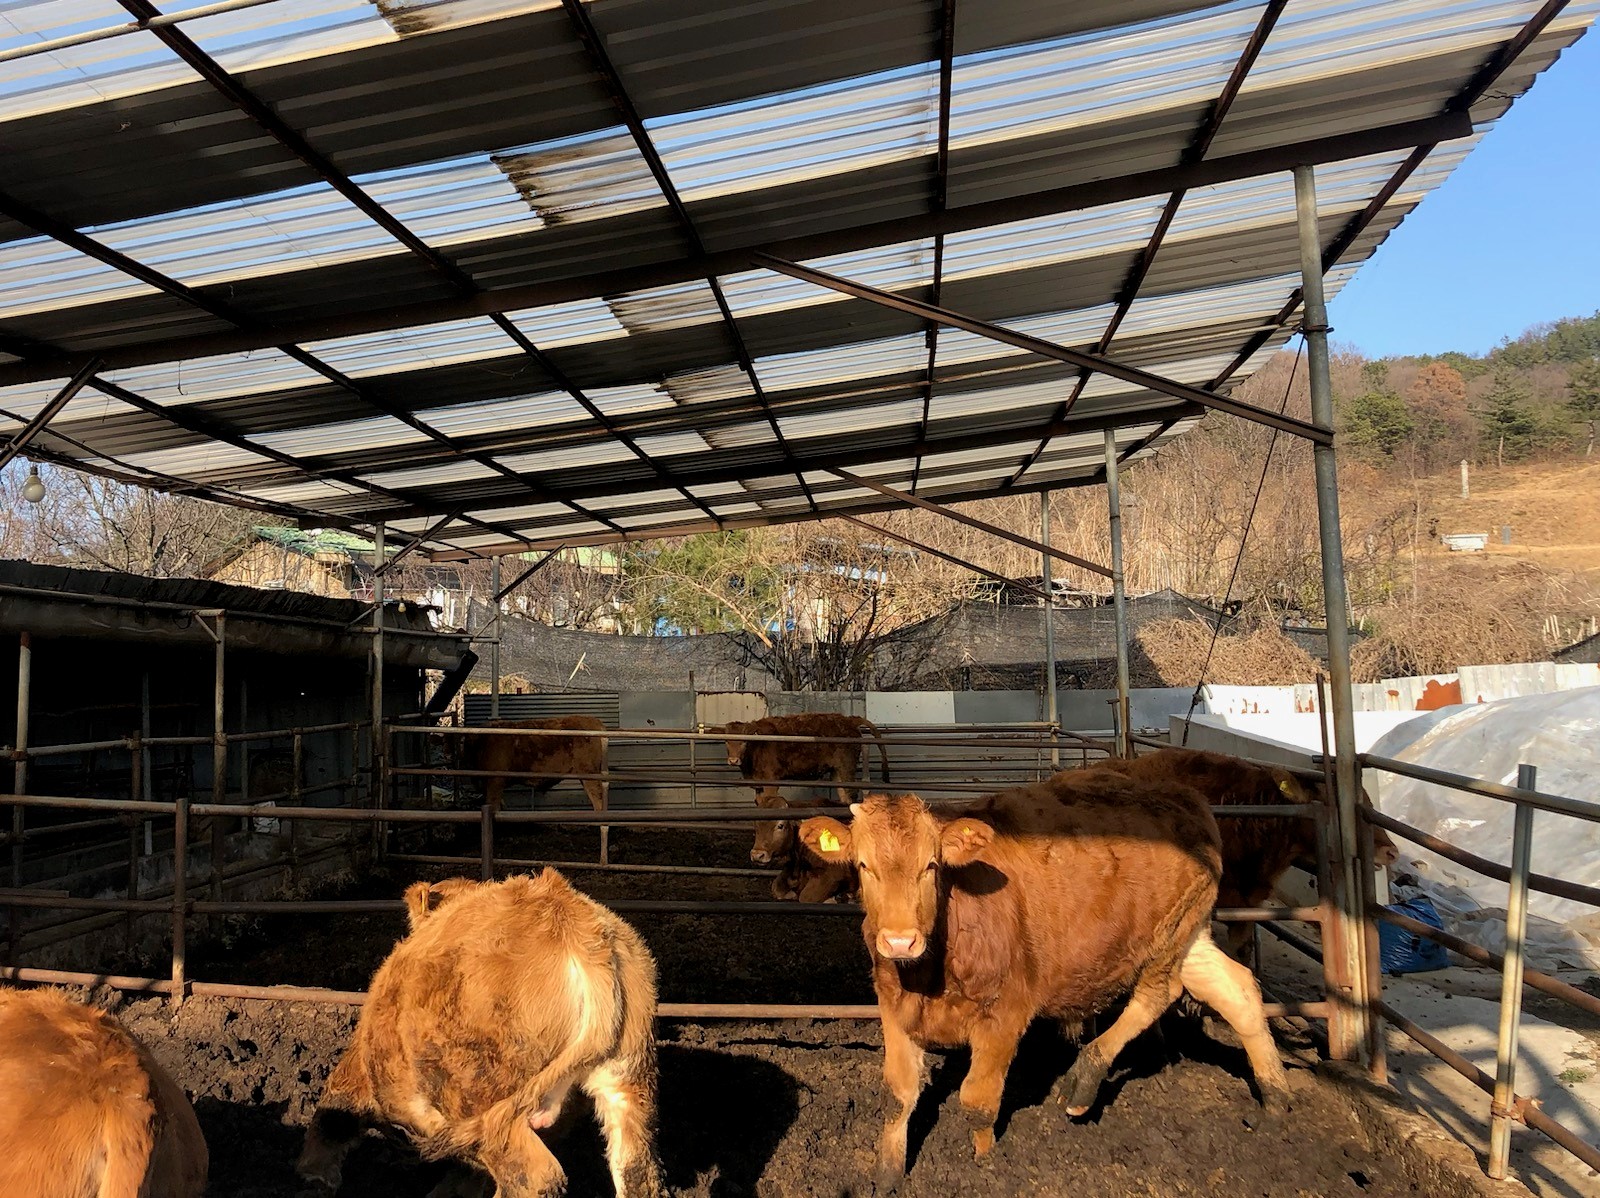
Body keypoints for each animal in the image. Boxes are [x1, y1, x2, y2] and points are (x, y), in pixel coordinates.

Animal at [299, 871, 662, 1198]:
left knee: (533, 1177)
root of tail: (573, 923)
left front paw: (313, 1176)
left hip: (480, 1098)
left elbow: (333, 1111)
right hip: (627, 1080)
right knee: (636, 1171)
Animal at [798, 773, 1288, 1185]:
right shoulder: (893, 1006)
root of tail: (1185, 797)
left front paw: (982, 1166)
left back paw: (1084, 1079)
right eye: (863, 866)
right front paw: (887, 1175)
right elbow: (898, 1096)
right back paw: (1275, 1095)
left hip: (1167, 935)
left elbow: (978, 1101)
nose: (899, 940)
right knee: (1236, 989)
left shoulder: (1006, 1014)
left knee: (1159, 993)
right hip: (1191, 931)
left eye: (932, 866)